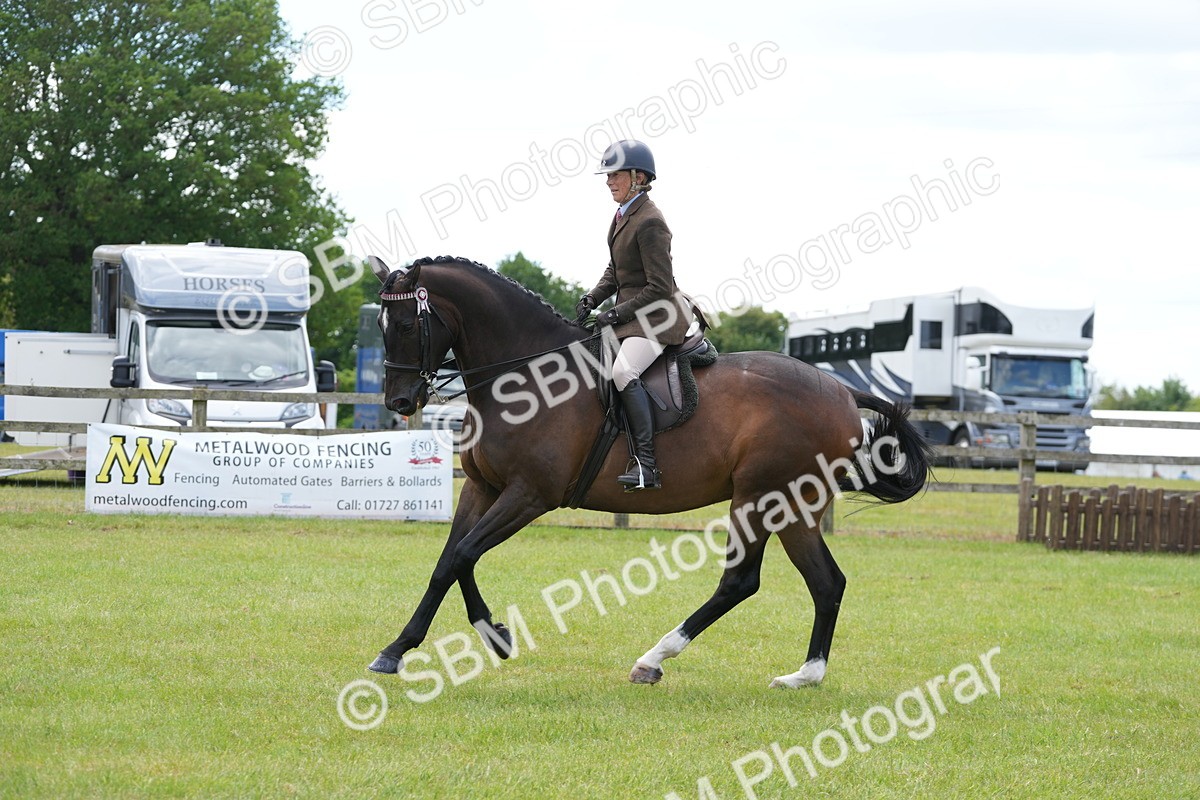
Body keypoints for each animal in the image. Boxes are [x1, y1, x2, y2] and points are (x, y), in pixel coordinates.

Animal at [365, 255, 934, 688]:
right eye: (380, 327)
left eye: (409, 325)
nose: (399, 402)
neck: (524, 376)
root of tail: (842, 391)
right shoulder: (483, 488)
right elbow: (448, 562)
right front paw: (402, 647)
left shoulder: (529, 495)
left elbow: (463, 555)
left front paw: (492, 637)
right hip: (795, 506)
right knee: (825, 582)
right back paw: (805, 675)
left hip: (762, 497)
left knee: (741, 581)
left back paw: (654, 658)